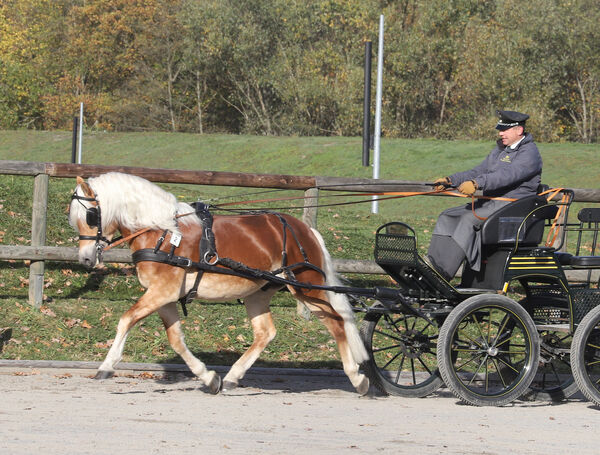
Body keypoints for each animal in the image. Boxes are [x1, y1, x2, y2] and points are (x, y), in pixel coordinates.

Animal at [68, 173, 368, 394]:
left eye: (90, 215)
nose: (85, 258)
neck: (162, 231)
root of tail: (305, 229)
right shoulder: (163, 296)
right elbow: (176, 340)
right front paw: (209, 377)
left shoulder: (162, 291)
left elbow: (126, 320)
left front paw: (107, 365)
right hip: (259, 292)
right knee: (266, 332)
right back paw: (234, 376)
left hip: (307, 287)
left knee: (337, 323)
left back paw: (357, 377)